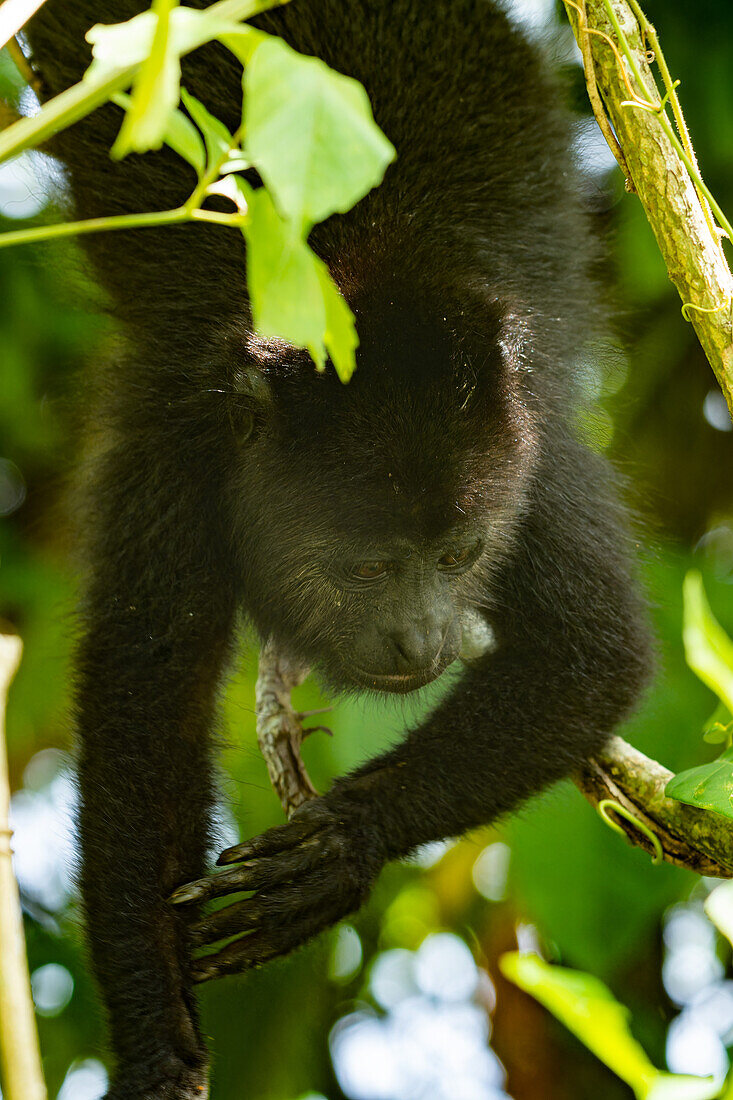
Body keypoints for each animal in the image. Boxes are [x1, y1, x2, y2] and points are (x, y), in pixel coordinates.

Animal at [25, 0, 647, 1095]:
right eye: (363, 567)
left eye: (460, 556)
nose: (422, 641)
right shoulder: (182, 442)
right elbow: (147, 702)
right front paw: (158, 1046)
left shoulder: (533, 452)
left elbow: (592, 650)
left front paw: (346, 847)